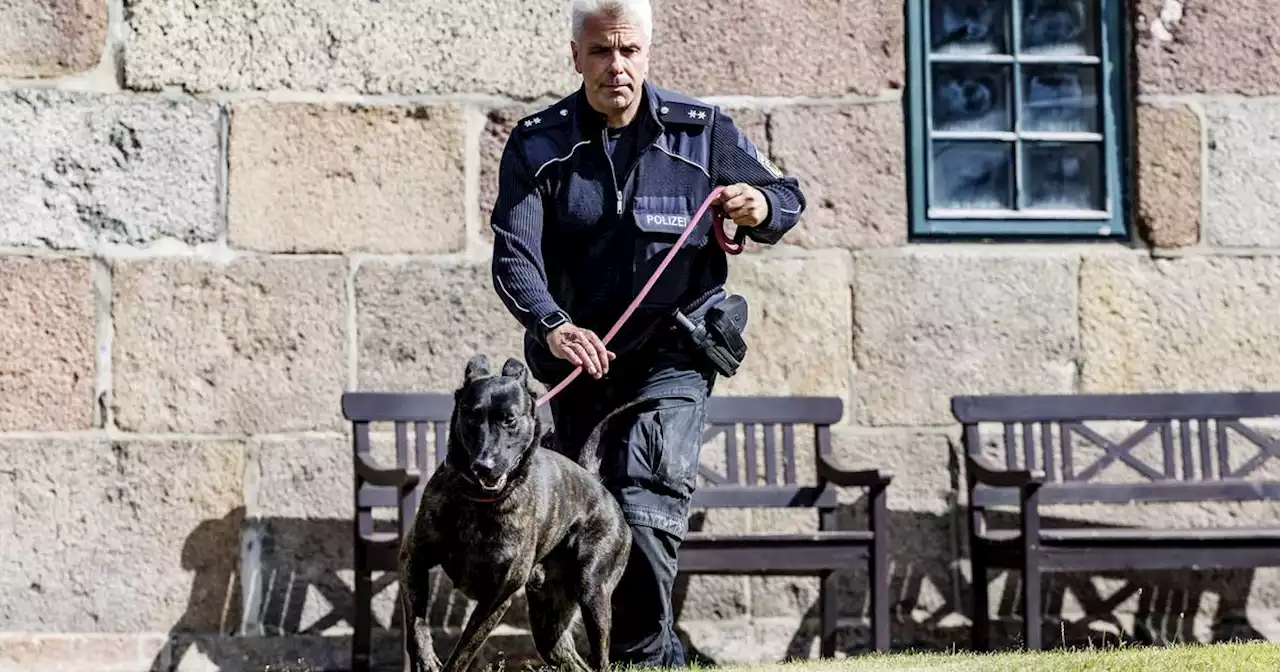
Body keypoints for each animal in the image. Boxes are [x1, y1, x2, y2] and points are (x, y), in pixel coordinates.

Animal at [396, 353, 632, 670]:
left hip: (594, 593)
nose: (484, 466)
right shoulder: (413, 558)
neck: (478, 502)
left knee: (601, 659)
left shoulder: (497, 597)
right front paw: (424, 657)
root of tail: (595, 481)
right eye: (471, 415)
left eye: (509, 419)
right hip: (548, 624)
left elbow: (462, 653)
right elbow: (415, 622)